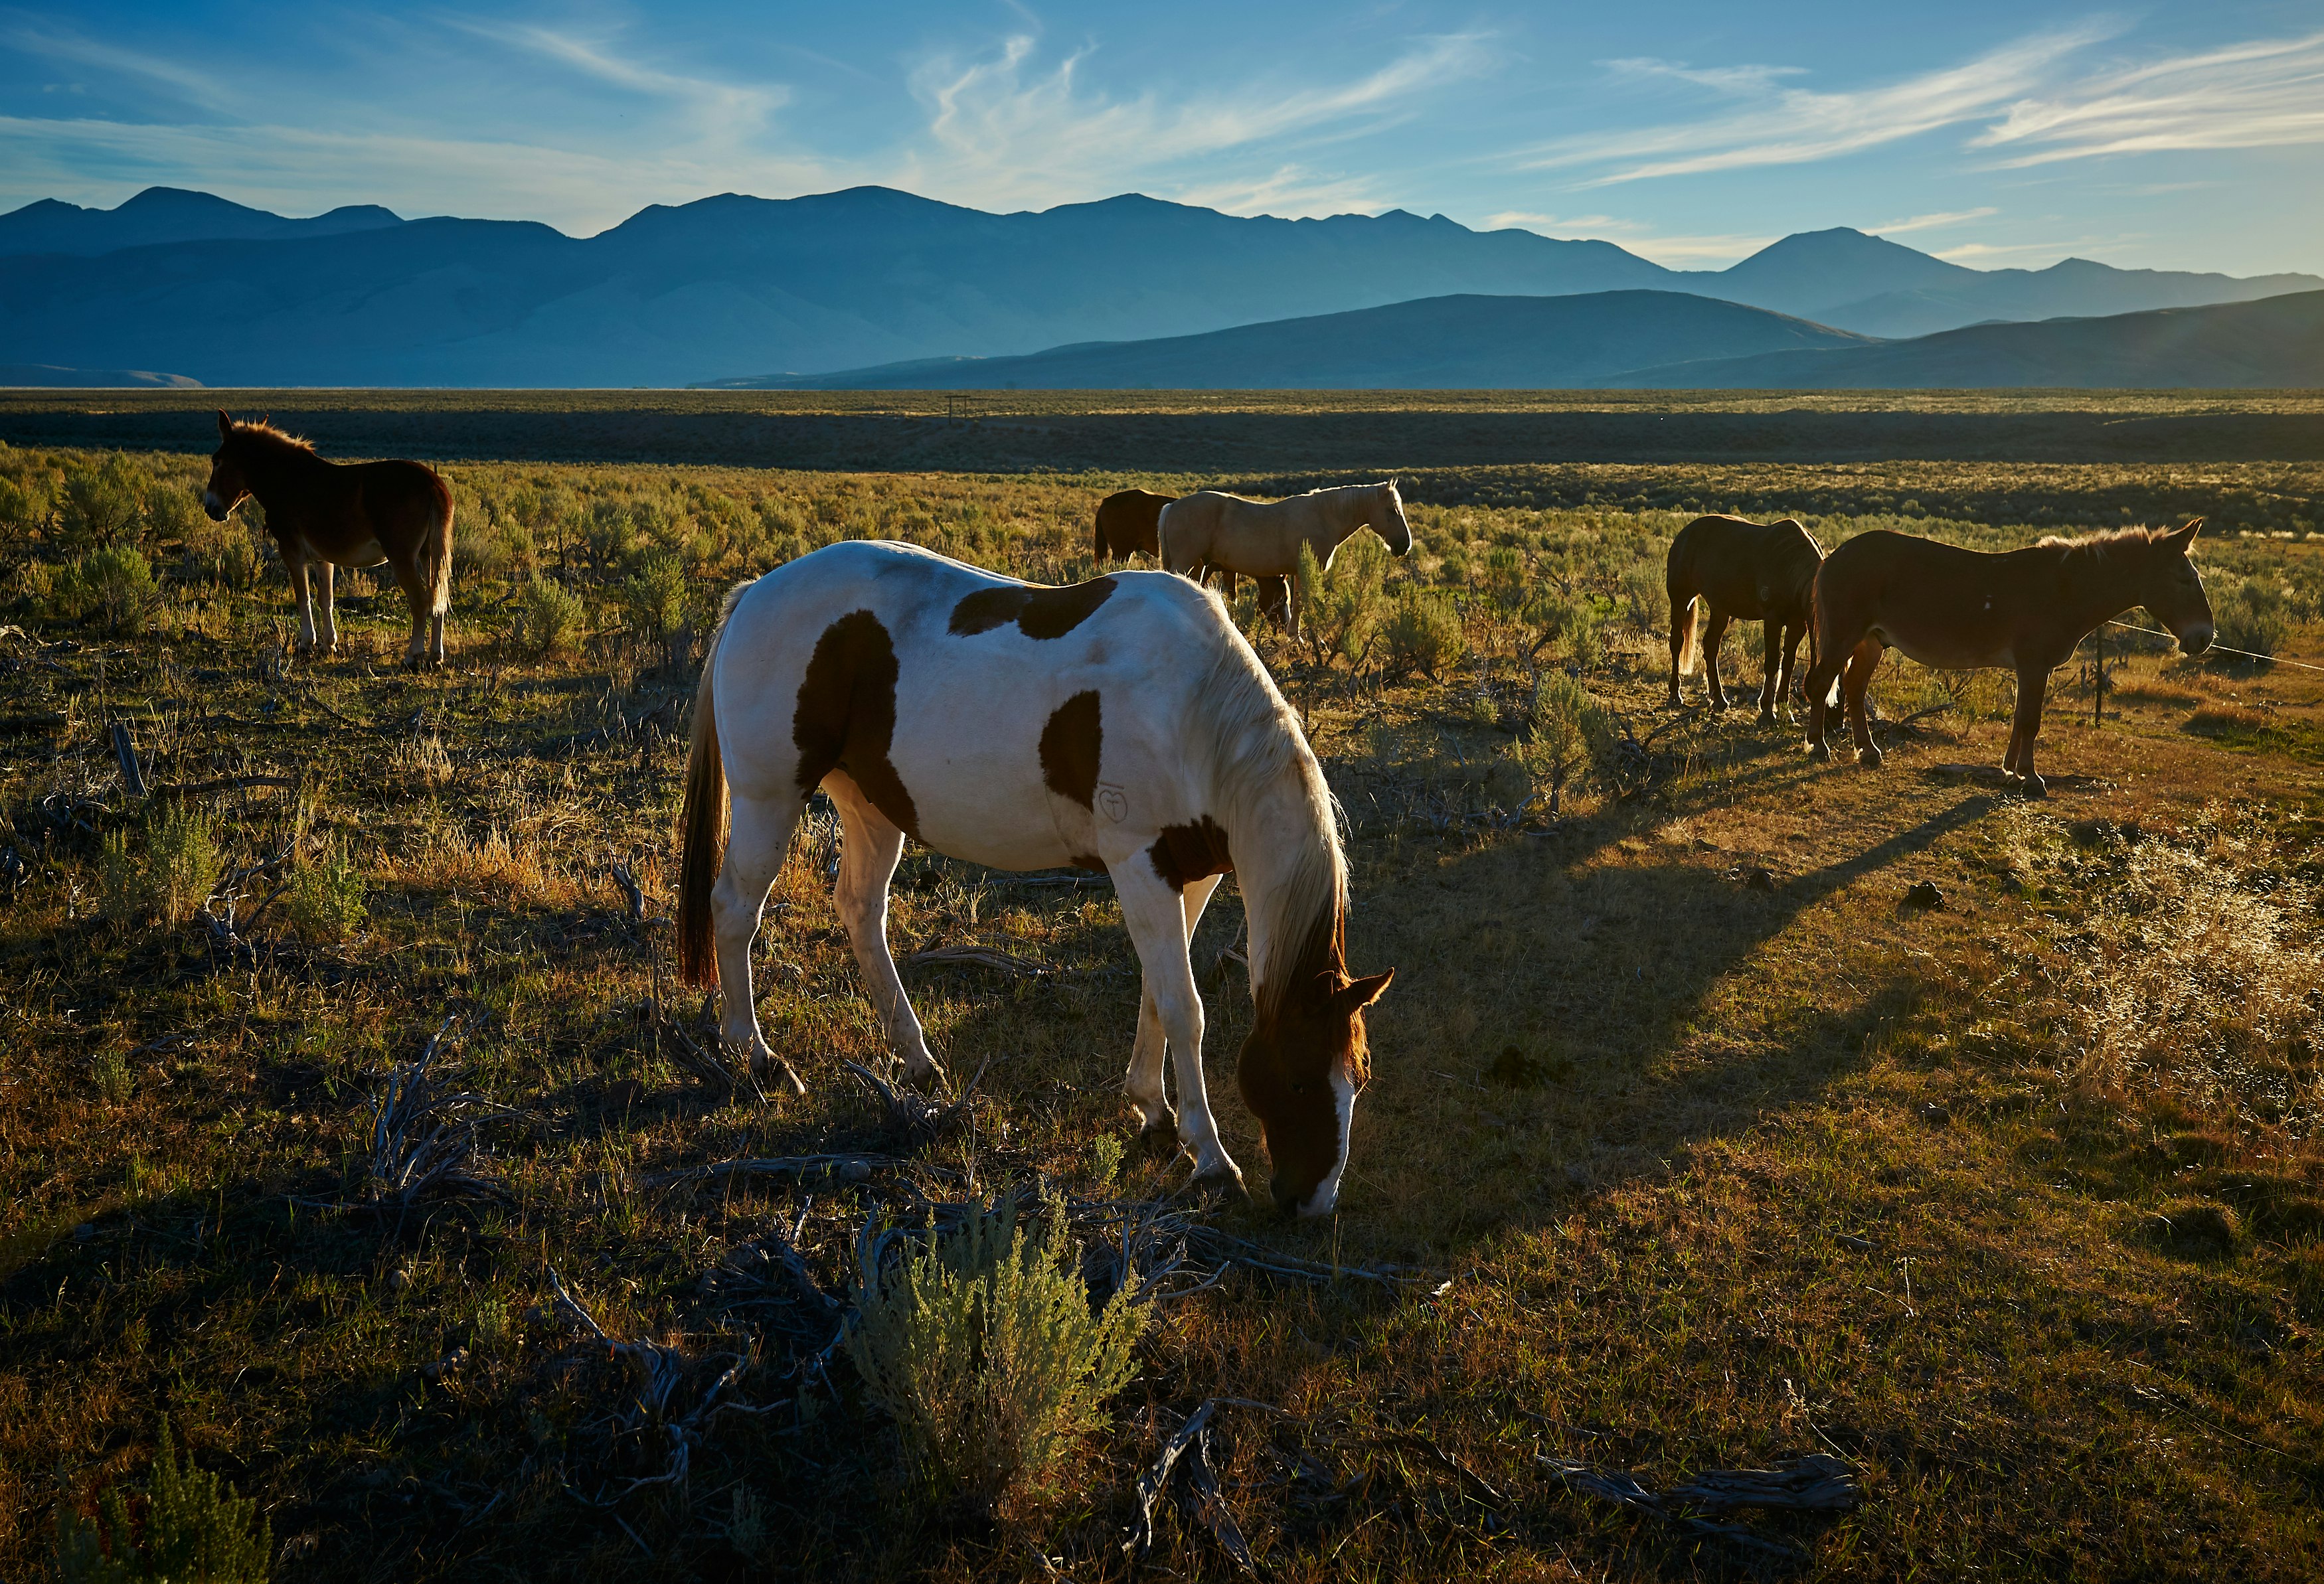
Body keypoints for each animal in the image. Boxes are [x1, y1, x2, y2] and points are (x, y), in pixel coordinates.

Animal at [679, 536, 1394, 1217]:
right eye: (1298, 1077)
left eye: (1357, 1078)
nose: (1312, 1204)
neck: (1191, 709)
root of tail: (753, 593)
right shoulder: (1139, 865)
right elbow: (1184, 1009)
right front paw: (1211, 1159)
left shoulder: (1191, 878)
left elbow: (1157, 995)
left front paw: (1152, 1112)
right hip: (770, 799)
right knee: (735, 910)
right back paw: (758, 1059)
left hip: (870, 806)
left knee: (860, 911)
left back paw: (917, 1061)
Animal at [1153, 476, 1404, 636]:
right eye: (1392, 509)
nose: (1405, 545)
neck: (1324, 517)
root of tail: (1172, 507)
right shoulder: (1305, 571)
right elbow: (1303, 605)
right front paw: (1300, 640)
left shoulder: (1297, 573)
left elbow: (1298, 604)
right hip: (1186, 563)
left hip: (1198, 566)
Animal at [1673, 511, 1831, 720]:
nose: (1833, 721)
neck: (1790, 566)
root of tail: (1684, 534)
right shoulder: (1773, 620)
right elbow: (1772, 663)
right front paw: (1767, 713)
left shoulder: (1797, 625)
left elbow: (1788, 663)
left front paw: (1784, 709)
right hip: (1681, 599)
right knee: (1677, 642)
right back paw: (1675, 695)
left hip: (1720, 609)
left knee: (1711, 646)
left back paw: (1718, 699)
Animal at [1794, 520, 2212, 794]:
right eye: (2184, 579)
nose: (2204, 638)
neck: (2065, 589)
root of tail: (1833, 557)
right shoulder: (2034, 665)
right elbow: (2030, 720)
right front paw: (2031, 777)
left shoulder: (2031, 669)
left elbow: (2019, 717)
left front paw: (2011, 770)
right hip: (1844, 636)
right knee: (1820, 683)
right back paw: (1818, 745)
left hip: (1871, 642)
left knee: (1851, 688)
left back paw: (1867, 751)